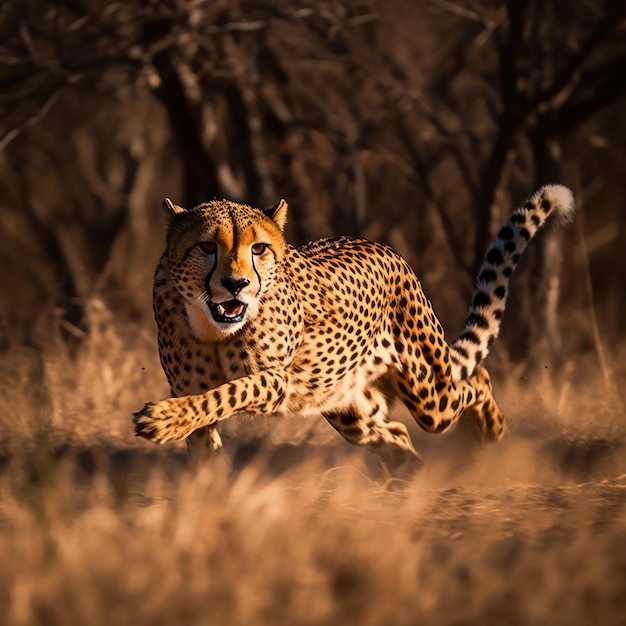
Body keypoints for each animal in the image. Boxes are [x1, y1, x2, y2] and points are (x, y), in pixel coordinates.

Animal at [134, 185, 572, 472]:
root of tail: (387, 249)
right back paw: (410, 479)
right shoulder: (188, 386)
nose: (237, 283)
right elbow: (203, 430)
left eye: (258, 249)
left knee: (474, 381)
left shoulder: (275, 380)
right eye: (207, 246)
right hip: (349, 406)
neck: (212, 327)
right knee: (396, 434)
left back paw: (489, 430)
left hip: (427, 393)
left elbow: (228, 392)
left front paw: (162, 420)